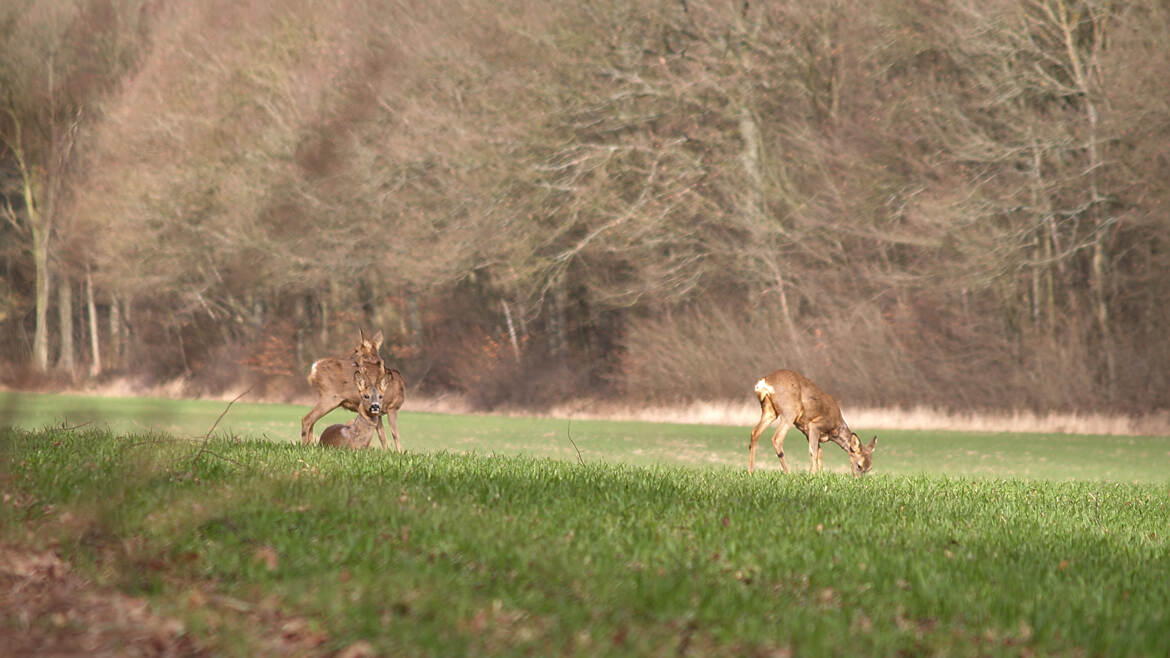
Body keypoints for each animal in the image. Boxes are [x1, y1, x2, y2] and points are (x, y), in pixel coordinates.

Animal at [748, 369, 879, 475]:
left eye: (870, 468)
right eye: (859, 465)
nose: (858, 479)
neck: (834, 430)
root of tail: (765, 382)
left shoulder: (808, 432)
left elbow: (819, 453)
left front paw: (820, 475)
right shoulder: (815, 425)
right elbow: (814, 451)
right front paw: (813, 475)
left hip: (769, 411)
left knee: (755, 432)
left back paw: (751, 472)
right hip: (789, 412)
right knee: (777, 438)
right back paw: (789, 474)